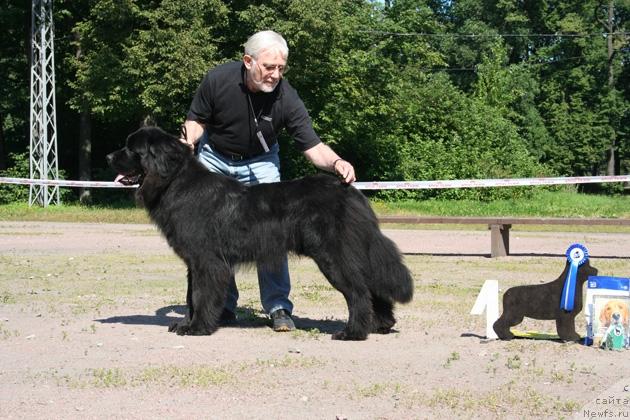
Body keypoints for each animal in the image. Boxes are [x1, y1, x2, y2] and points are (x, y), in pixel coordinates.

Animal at [107, 126, 414, 340]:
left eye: (131, 149)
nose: (108, 155)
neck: (175, 184)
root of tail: (349, 189)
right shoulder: (194, 263)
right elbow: (190, 296)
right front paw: (185, 323)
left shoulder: (206, 260)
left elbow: (200, 296)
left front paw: (197, 328)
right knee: (372, 288)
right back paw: (380, 325)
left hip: (333, 257)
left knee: (358, 292)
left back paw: (353, 333)